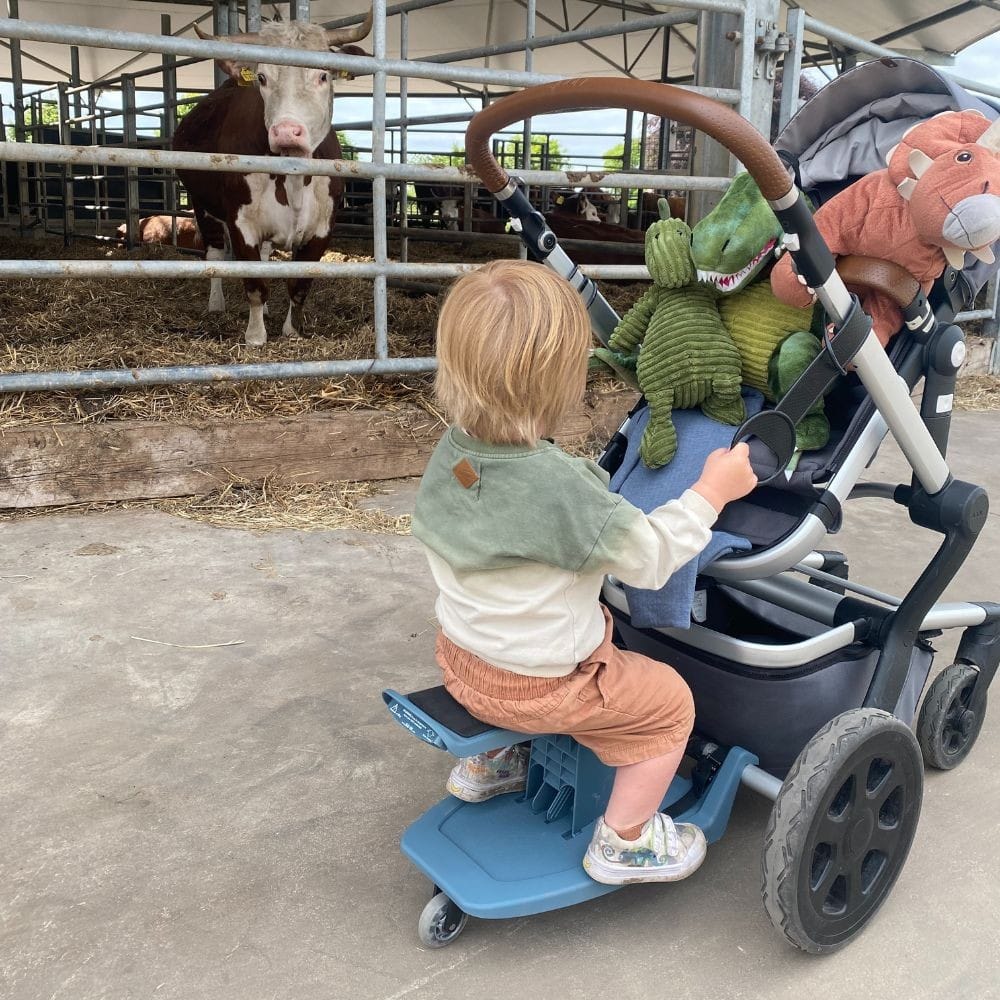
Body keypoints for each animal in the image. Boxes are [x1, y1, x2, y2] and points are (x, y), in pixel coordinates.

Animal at [174, 7, 374, 346]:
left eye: (323, 75)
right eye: (262, 78)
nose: (286, 132)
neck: (292, 179)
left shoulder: (323, 227)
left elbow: (299, 285)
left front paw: (292, 330)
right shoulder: (241, 223)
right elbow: (255, 284)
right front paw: (256, 336)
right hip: (202, 205)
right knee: (214, 253)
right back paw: (216, 305)